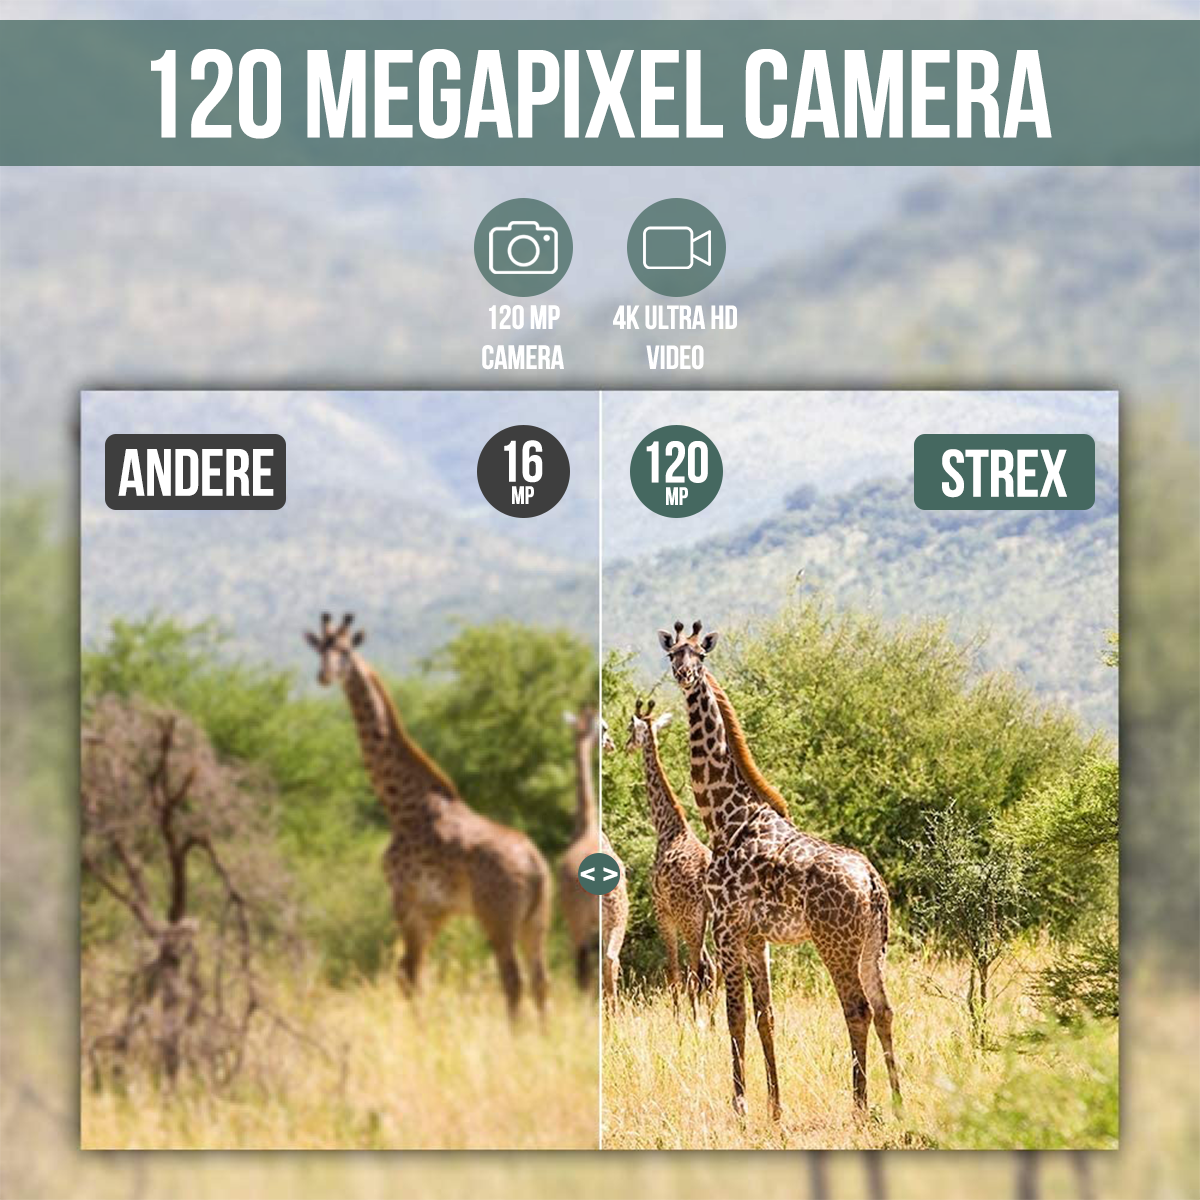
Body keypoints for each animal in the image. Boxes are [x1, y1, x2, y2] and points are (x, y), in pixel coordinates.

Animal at [305, 612, 550, 1021]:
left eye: (345, 651)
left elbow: (408, 976)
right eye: (320, 650)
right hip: (536, 921)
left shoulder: (405, 898)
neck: (402, 804)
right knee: (541, 982)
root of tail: (535, 864)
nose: (324, 675)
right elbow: (415, 975)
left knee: (513, 980)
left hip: (498, 918)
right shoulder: (435, 913)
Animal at [625, 698, 715, 1018]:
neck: (667, 827)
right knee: (714, 969)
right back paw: (713, 1019)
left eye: (630, 729)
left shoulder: (662, 911)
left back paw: (699, 1020)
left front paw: (679, 1018)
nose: (625, 746)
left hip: (691, 920)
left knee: (698, 970)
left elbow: (673, 970)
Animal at [657, 620, 901, 1118]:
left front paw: (740, 1106)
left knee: (858, 1009)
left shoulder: (726, 927)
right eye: (672, 653)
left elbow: (733, 1014)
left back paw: (859, 1107)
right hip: (874, 945)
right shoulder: (757, 938)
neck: (725, 818)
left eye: (700, 656)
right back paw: (899, 1103)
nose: (684, 675)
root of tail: (872, 883)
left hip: (835, 943)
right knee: (885, 1009)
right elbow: (764, 1015)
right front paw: (774, 1106)